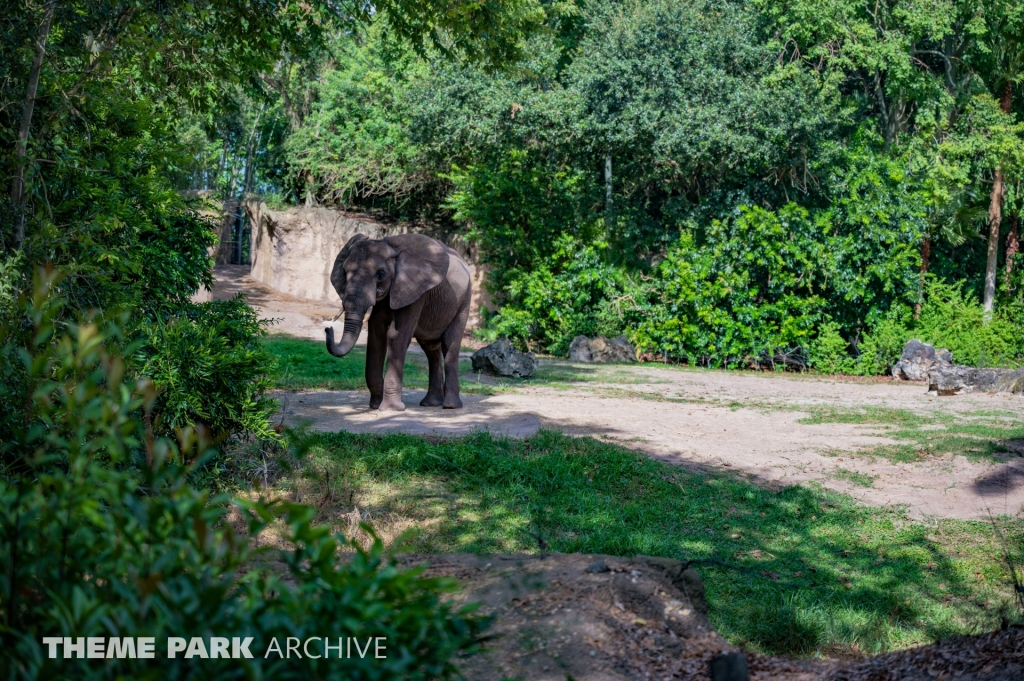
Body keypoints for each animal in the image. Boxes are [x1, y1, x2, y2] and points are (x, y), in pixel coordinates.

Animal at [323, 231, 471, 409]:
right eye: (345, 272)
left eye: (380, 274)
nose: (328, 328)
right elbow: (376, 336)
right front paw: (376, 405)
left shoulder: (413, 291)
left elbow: (396, 336)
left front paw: (391, 409)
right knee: (430, 348)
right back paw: (430, 404)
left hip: (463, 300)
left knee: (450, 344)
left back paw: (450, 406)